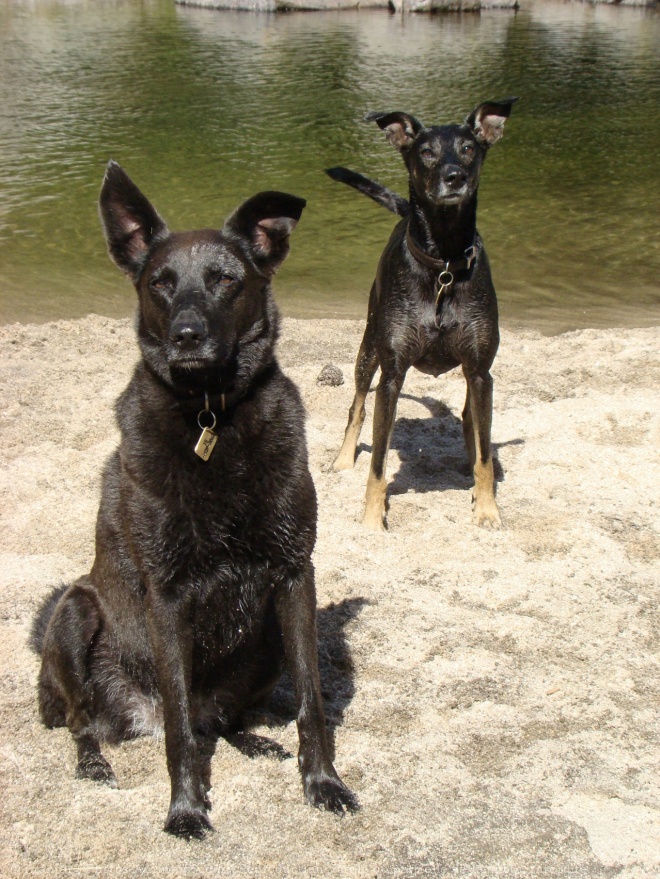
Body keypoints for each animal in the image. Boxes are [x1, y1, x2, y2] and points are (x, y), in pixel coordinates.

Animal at [32, 162, 356, 844]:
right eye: (161, 282)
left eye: (226, 280)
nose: (187, 336)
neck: (211, 414)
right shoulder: (168, 593)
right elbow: (180, 728)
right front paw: (185, 809)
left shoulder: (294, 576)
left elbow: (311, 703)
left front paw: (323, 783)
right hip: (75, 611)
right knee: (88, 723)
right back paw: (95, 762)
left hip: (265, 634)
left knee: (219, 721)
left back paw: (252, 742)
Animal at [328, 100, 516, 532]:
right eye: (426, 152)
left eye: (469, 148)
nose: (454, 176)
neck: (443, 264)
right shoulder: (392, 374)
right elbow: (378, 463)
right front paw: (371, 519)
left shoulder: (481, 370)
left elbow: (484, 450)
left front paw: (487, 508)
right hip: (369, 347)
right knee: (357, 404)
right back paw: (343, 458)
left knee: (469, 419)